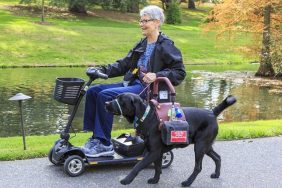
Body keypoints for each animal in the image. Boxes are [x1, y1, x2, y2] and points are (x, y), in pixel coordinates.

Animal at [105, 93, 236, 187]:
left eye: (121, 100)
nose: (106, 103)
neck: (147, 117)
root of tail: (212, 112)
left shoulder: (153, 152)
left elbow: (137, 166)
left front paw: (127, 180)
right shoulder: (156, 152)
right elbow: (157, 167)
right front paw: (155, 180)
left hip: (200, 146)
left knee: (198, 167)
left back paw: (187, 182)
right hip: (206, 146)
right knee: (217, 157)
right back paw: (216, 174)